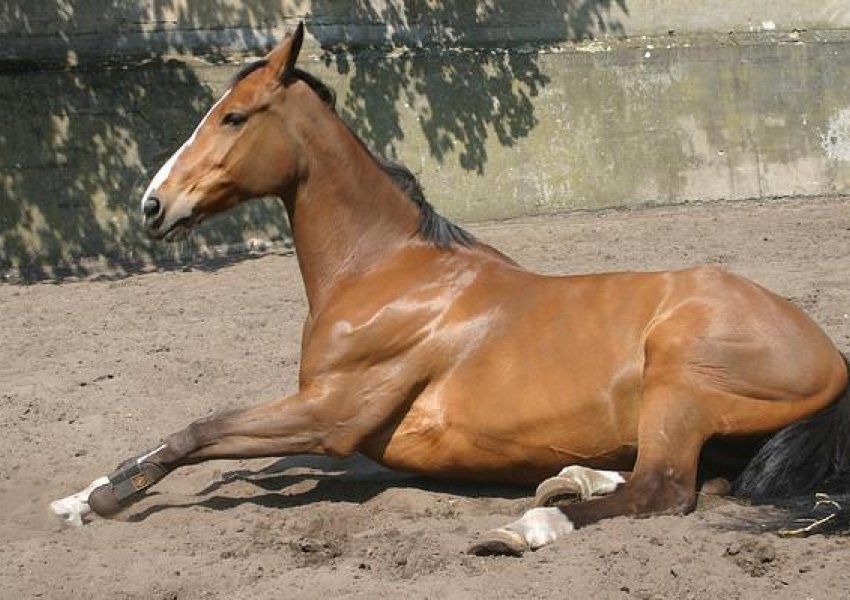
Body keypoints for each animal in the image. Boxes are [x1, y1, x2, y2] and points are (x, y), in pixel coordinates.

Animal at [53, 25, 848, 556]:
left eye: (234, 117)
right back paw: (568, 480)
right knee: (695, 482)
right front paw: (77, 498)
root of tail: (830, 355)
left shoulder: (329, 415)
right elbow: (203, 444)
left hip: (679, 380)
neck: (387, 272)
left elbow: (200, 431)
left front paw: (106, 500)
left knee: (667, 490)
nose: (152, 206)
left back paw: (528, 523)